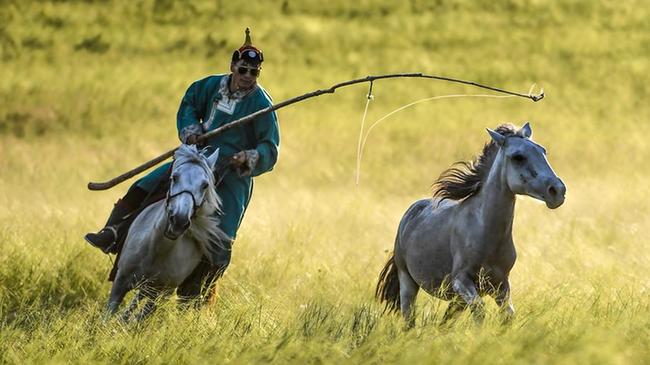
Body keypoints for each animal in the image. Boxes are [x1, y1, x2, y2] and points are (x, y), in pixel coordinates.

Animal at [105, 144, 228, 320]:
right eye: (174, 177)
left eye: (205, 185)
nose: (179, 221)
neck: (156, 249)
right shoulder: (120, 281)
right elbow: (107, 316)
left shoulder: (161, 293)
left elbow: (139, 318)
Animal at [374, 122, 560, 324]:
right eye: (518, 157)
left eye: (543, 151)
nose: (558, 190)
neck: (485, 231)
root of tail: (411, 212)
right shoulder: (461, 281)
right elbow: (480, 312)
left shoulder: (500, 284)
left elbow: (508, 315)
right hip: (408, 281)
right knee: (409, 318)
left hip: (458, 299)